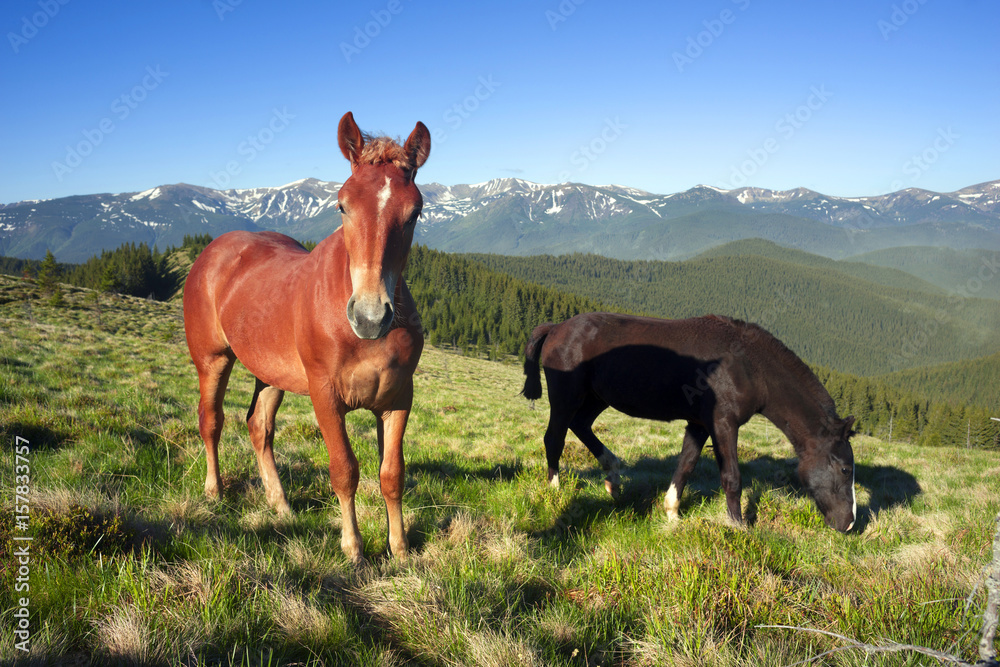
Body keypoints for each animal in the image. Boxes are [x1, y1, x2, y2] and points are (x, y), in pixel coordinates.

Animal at [183, 112, 430, 563]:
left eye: (415, 211)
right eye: (342, 205)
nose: (370, 316)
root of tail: (214, 250)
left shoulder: (398, 399)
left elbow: (392, 474)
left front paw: (400, 549)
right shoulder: (324, 395)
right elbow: (344, 470)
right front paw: (353, 548)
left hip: (270, 374)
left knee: (258, 426)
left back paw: (280, 504)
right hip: (213, 359)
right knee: (211, 420)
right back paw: (214, 490)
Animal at [522, 312, 857, 532]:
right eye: (844, 469)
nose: (850, 523)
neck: (748, 366)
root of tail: (557, 327)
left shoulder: (699, 425)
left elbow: (685, 466)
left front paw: (672, 514)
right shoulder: (723, 424)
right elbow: (732, 477)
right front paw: (738, 527)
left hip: (596, 397)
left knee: (581, 425)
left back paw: (613, 475)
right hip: (566, 397)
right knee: (555, 437)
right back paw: (555, 489)